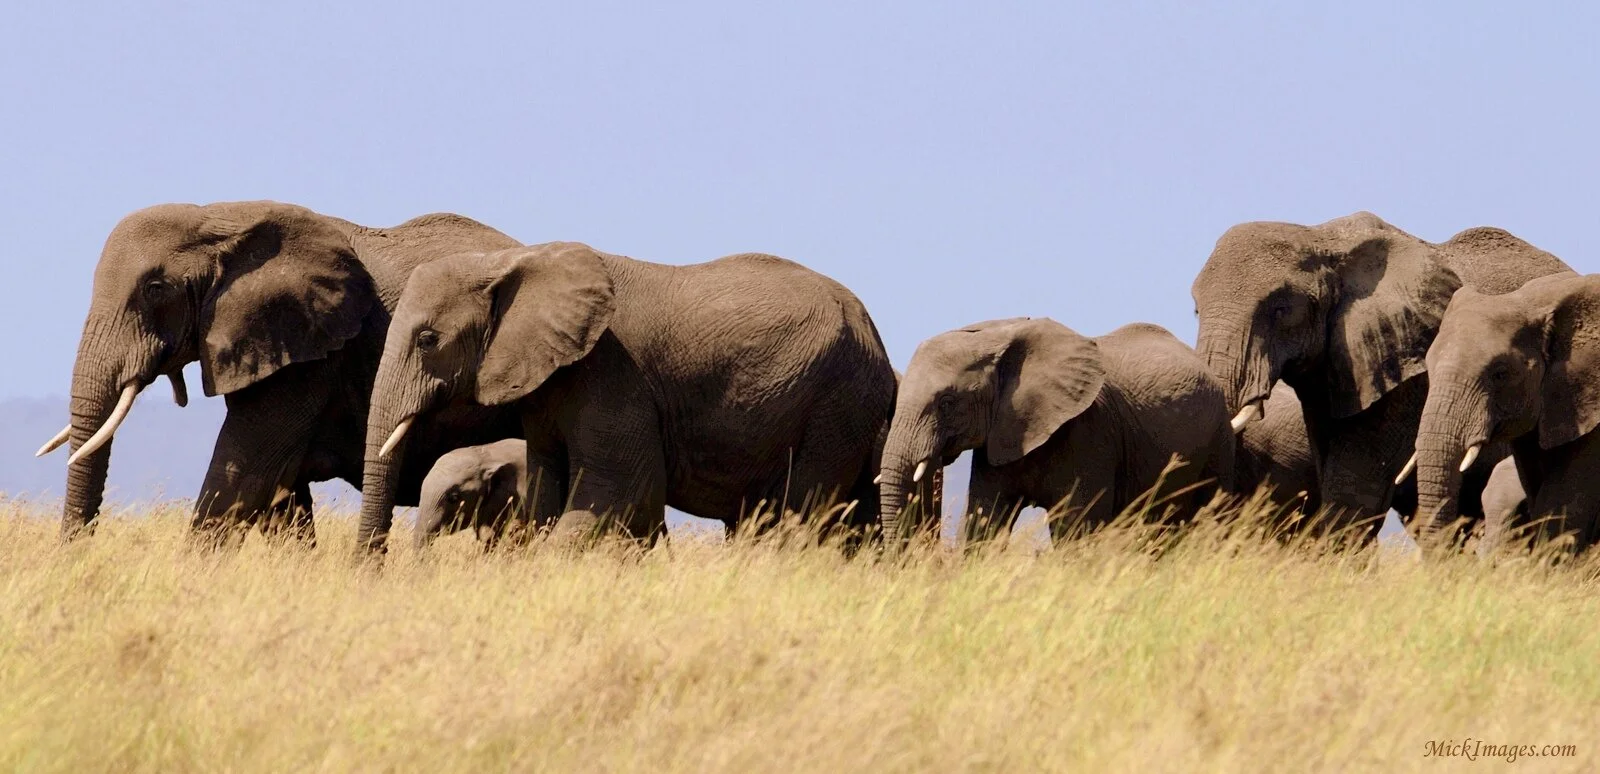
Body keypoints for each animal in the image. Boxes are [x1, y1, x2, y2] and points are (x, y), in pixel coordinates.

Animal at [355, 242, 897, 553]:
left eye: (427, 339)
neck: (514, 261)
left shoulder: (612, 373)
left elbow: (615, 496)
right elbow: (549, 494)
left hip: (839, 402)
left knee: (796, 514)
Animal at [878, 318, 1235, 545]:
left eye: (947, 402)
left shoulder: (1090, 433)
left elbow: (1074, 530)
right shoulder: (1000, 435)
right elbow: (985, 522)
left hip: (1219, 439)